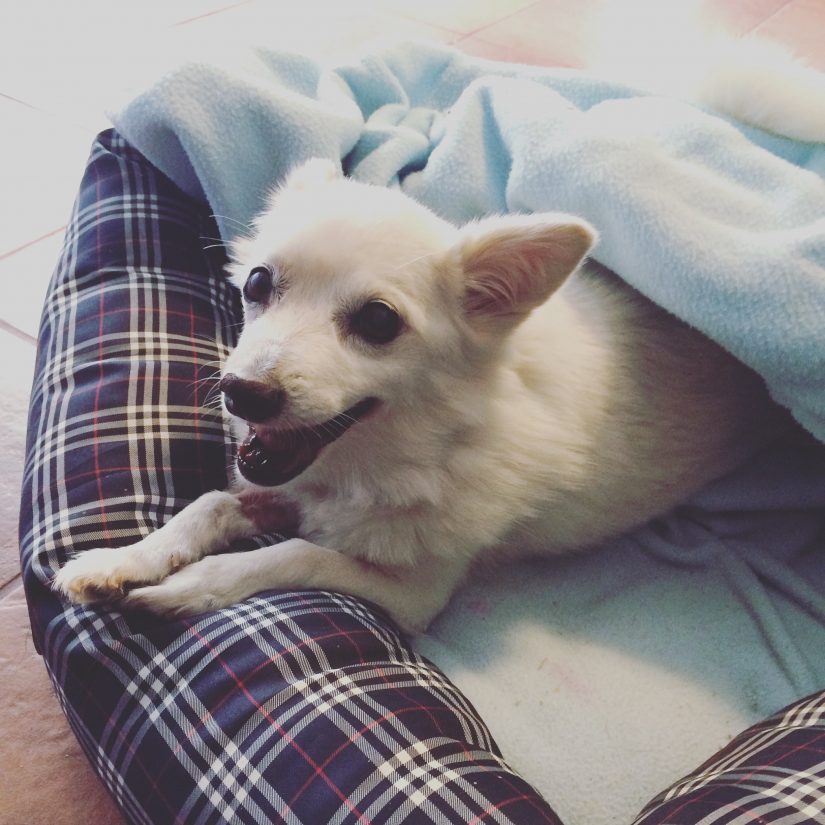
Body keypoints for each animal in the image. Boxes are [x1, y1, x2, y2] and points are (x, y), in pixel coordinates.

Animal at [53, 156, 784, 632]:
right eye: (257, 283)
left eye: (379, 323)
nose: (241, 392)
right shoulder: (281, 489)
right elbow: (209, 504)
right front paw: (122, 559)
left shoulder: (415, 595)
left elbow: (295, 553)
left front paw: (186, 588)